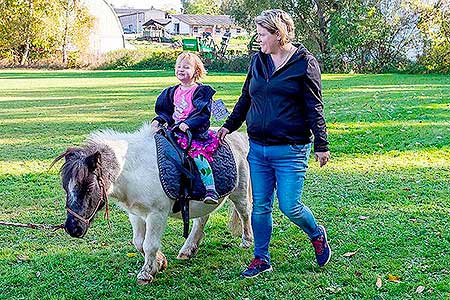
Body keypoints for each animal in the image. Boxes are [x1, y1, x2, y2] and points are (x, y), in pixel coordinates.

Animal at [52, 123, 253, 284]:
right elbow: (139, 242)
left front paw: (146, 273)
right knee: (201, 220)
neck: (134, 168)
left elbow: (150, 244)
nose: (72, 228)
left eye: (88, 187)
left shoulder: (157, 214)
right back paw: (188, 250)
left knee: (244, 212)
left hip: (239, 191)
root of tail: (239, 136)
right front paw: (160, 262)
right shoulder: (135, 214)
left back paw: (247, 241)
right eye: (65, 187)